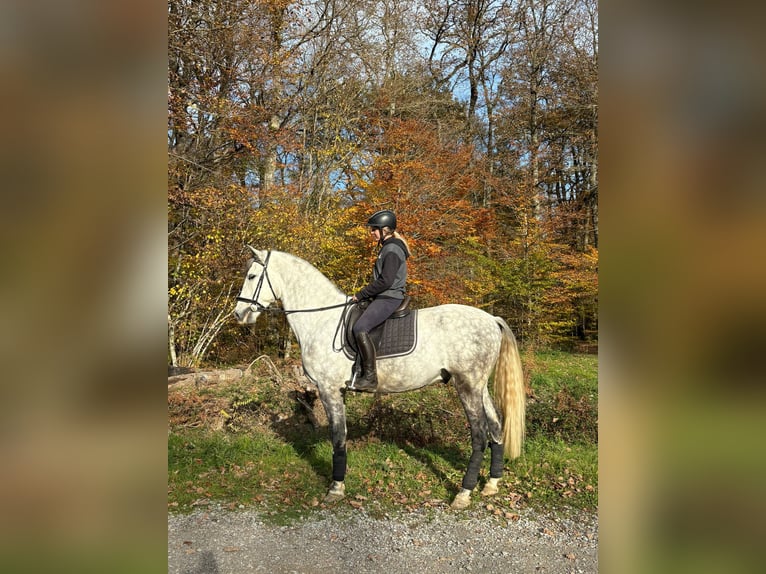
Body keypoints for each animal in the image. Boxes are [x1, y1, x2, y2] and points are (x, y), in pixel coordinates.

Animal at [233, 247, 525, 509]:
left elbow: (338, 437)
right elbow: (341, 435)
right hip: (479, 387)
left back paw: (464, 494)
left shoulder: (329, 389)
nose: (239, 314)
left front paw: (335, 488)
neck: (321, 319)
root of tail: (491, 319)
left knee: (479, 435)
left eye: (251, 276)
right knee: (496, 427)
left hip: (467, 386)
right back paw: (491, 484)